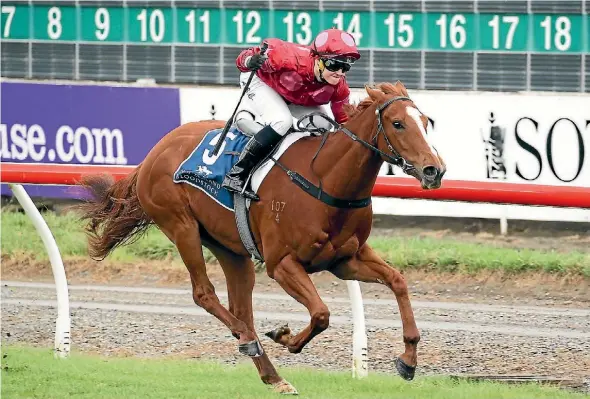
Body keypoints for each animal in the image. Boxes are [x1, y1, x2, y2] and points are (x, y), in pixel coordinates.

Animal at [80, 80, 448, 394]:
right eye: (398, 124)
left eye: (426, 122)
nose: (434, 170)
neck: (325, 179)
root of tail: (154, 153)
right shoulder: (282, 263)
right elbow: (321, 313)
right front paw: (284, 336)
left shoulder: (346, 259)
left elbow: (398, 281)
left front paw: (408, 360)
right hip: (181, 226)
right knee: (205, 294)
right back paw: (247, 339)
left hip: (231, 248)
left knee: (241, 307)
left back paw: (273, 375)